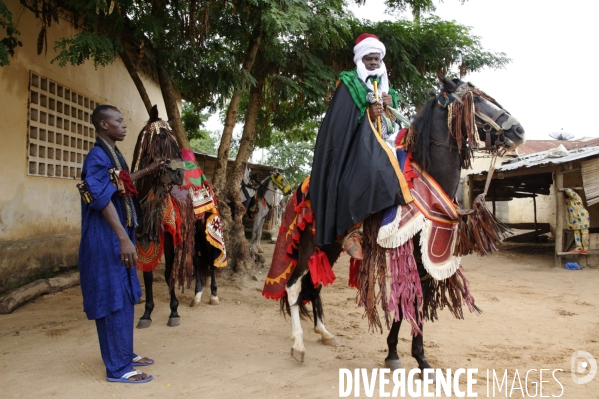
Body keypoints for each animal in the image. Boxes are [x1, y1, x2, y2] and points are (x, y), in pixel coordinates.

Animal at [132, 106, 224, 328]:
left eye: (174, 138)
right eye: (162, 135)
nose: (179, 175)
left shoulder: (169, 236)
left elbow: (169, 273)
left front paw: (174, 311)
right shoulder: (144, 237)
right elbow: (148, 275)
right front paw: (146, 313)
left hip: (206, 228)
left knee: (211, 260)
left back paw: (213, 295)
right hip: (193, 233)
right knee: (198, 261)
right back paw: (197, 296)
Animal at [280, 73, 524, 368]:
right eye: (474, 101)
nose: (518, 131)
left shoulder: (426, 258)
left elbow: (420, 301)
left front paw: (419, 358)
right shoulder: (402, 251)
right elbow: (403, 299)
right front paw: (394, 354)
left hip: (330, 246)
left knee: (313, 286)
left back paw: (324, 332)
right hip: (308, 245)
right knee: (294, 286)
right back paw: (298, 344)